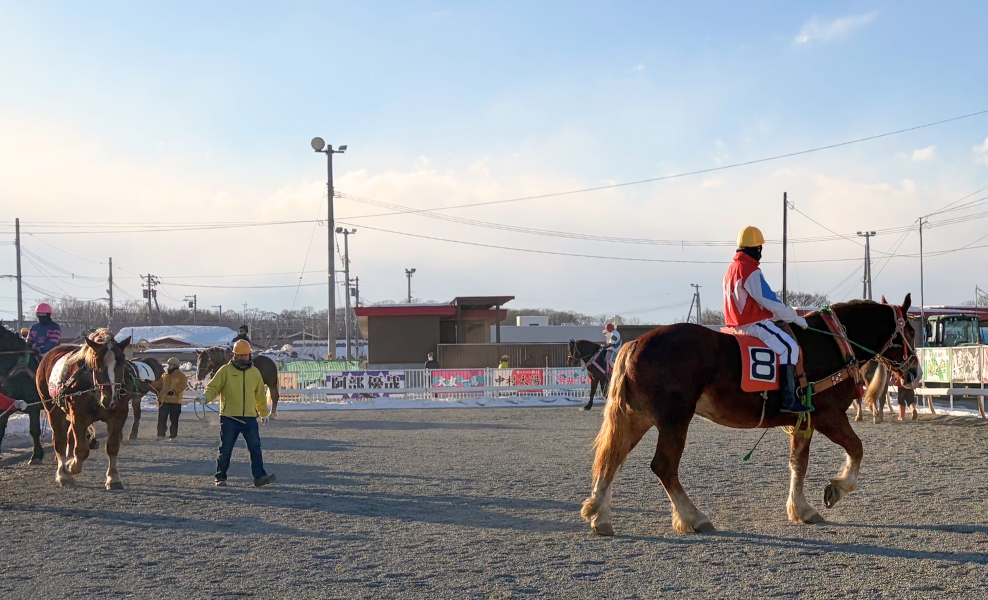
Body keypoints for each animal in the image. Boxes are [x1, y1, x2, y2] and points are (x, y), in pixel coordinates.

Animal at [36, 329, 132, 489]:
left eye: (121, 363)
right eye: (97, 365)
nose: (110, 399)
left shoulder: (119, 415)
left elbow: (112, 446)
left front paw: (113, 478)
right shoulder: (78, 416)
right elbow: (81, 450)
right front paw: (71, 467)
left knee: (69, 436)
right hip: (52, 409)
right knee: (60, 439)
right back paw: (63, 473)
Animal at [581, 296, 921, 535]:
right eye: (911, 331)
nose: (915, 374)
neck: (832, 341)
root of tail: (636, 342)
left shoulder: (805, 422)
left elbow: (798, 464)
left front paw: (800, 509)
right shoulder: (829, 415)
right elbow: (856, 449)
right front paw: (836, 489)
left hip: (638, 418)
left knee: (612, 458)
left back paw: (600, 515)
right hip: (674, 420)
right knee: (663, 466)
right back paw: (693, 517)